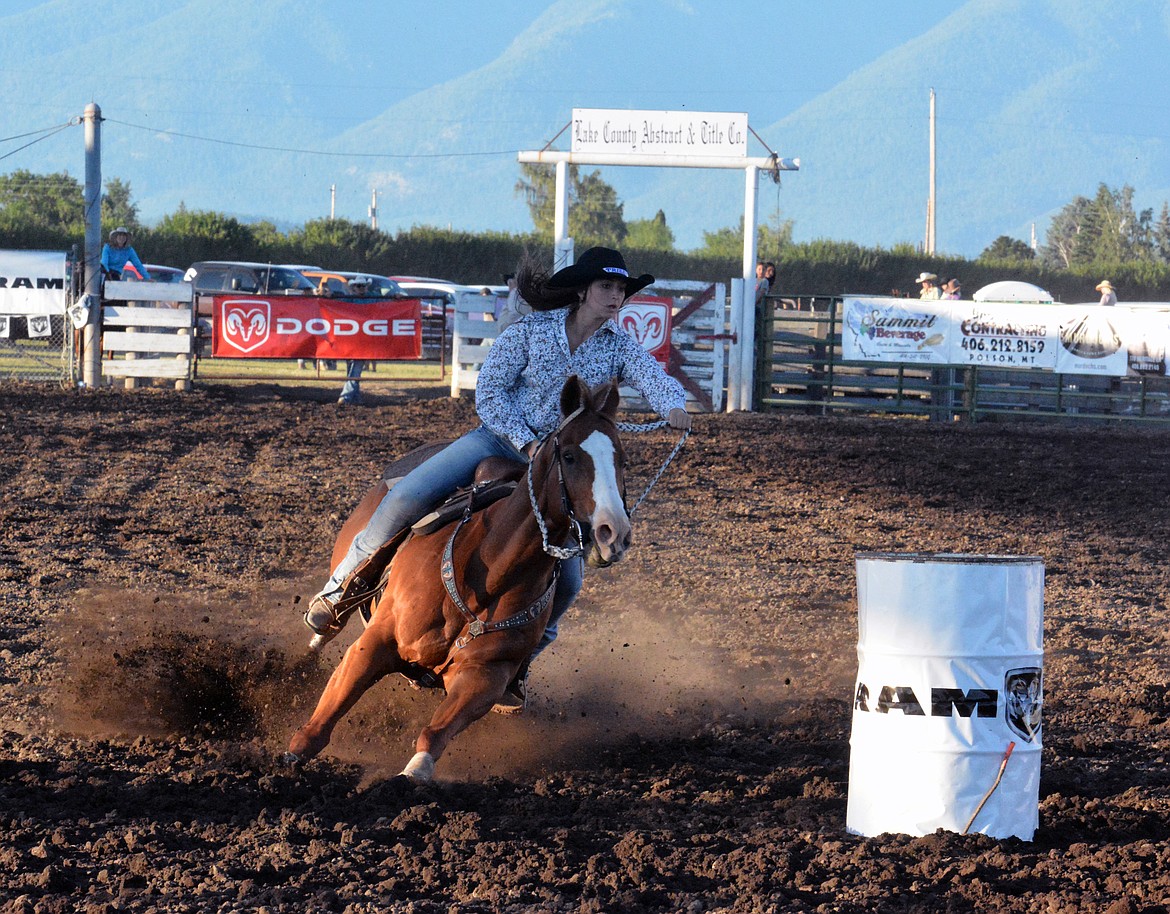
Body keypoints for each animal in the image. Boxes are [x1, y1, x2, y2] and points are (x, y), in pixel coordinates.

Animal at [286, 374, 631, 781]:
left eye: (621, 459)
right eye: (570, 456)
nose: (613, 532)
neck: (493, 569)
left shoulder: (486, 677)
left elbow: (435, 733)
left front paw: (412, 775)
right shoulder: (378, 641)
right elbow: (328, 713)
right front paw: (294, 754)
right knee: (334, 615)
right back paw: (304, 654)